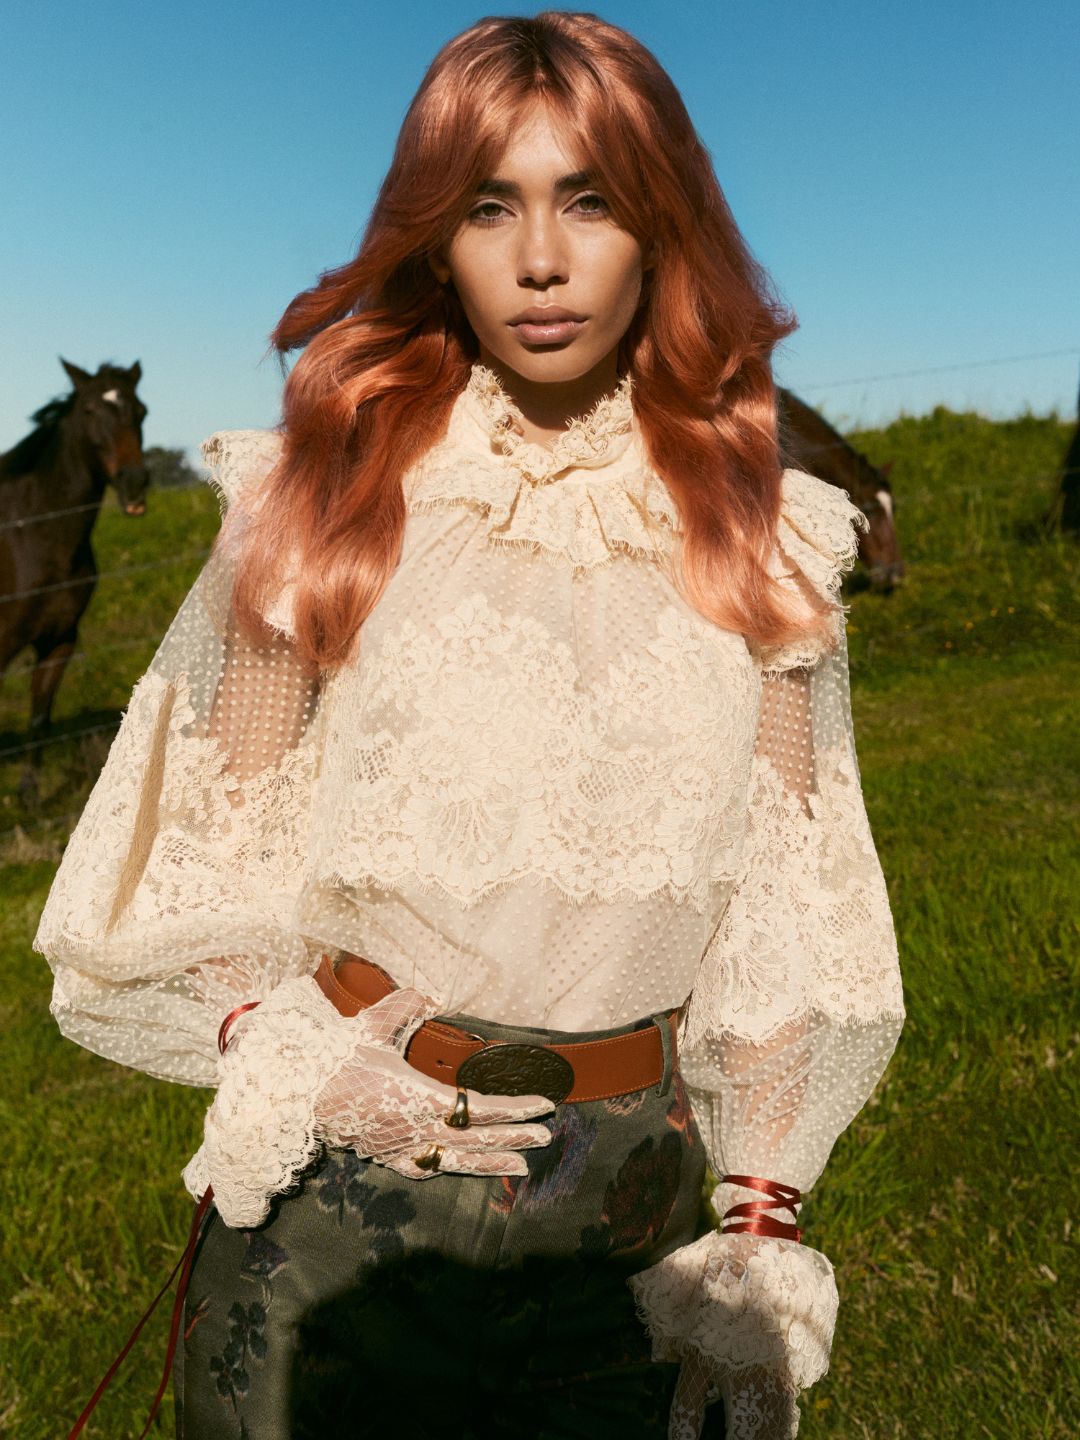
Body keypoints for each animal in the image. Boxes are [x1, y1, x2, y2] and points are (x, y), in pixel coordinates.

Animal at [0, 358, 149, 801]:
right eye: (89, 410)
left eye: (141, 412)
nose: (135, 482)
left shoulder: (59, 639)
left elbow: (39, 720)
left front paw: (29, 795)